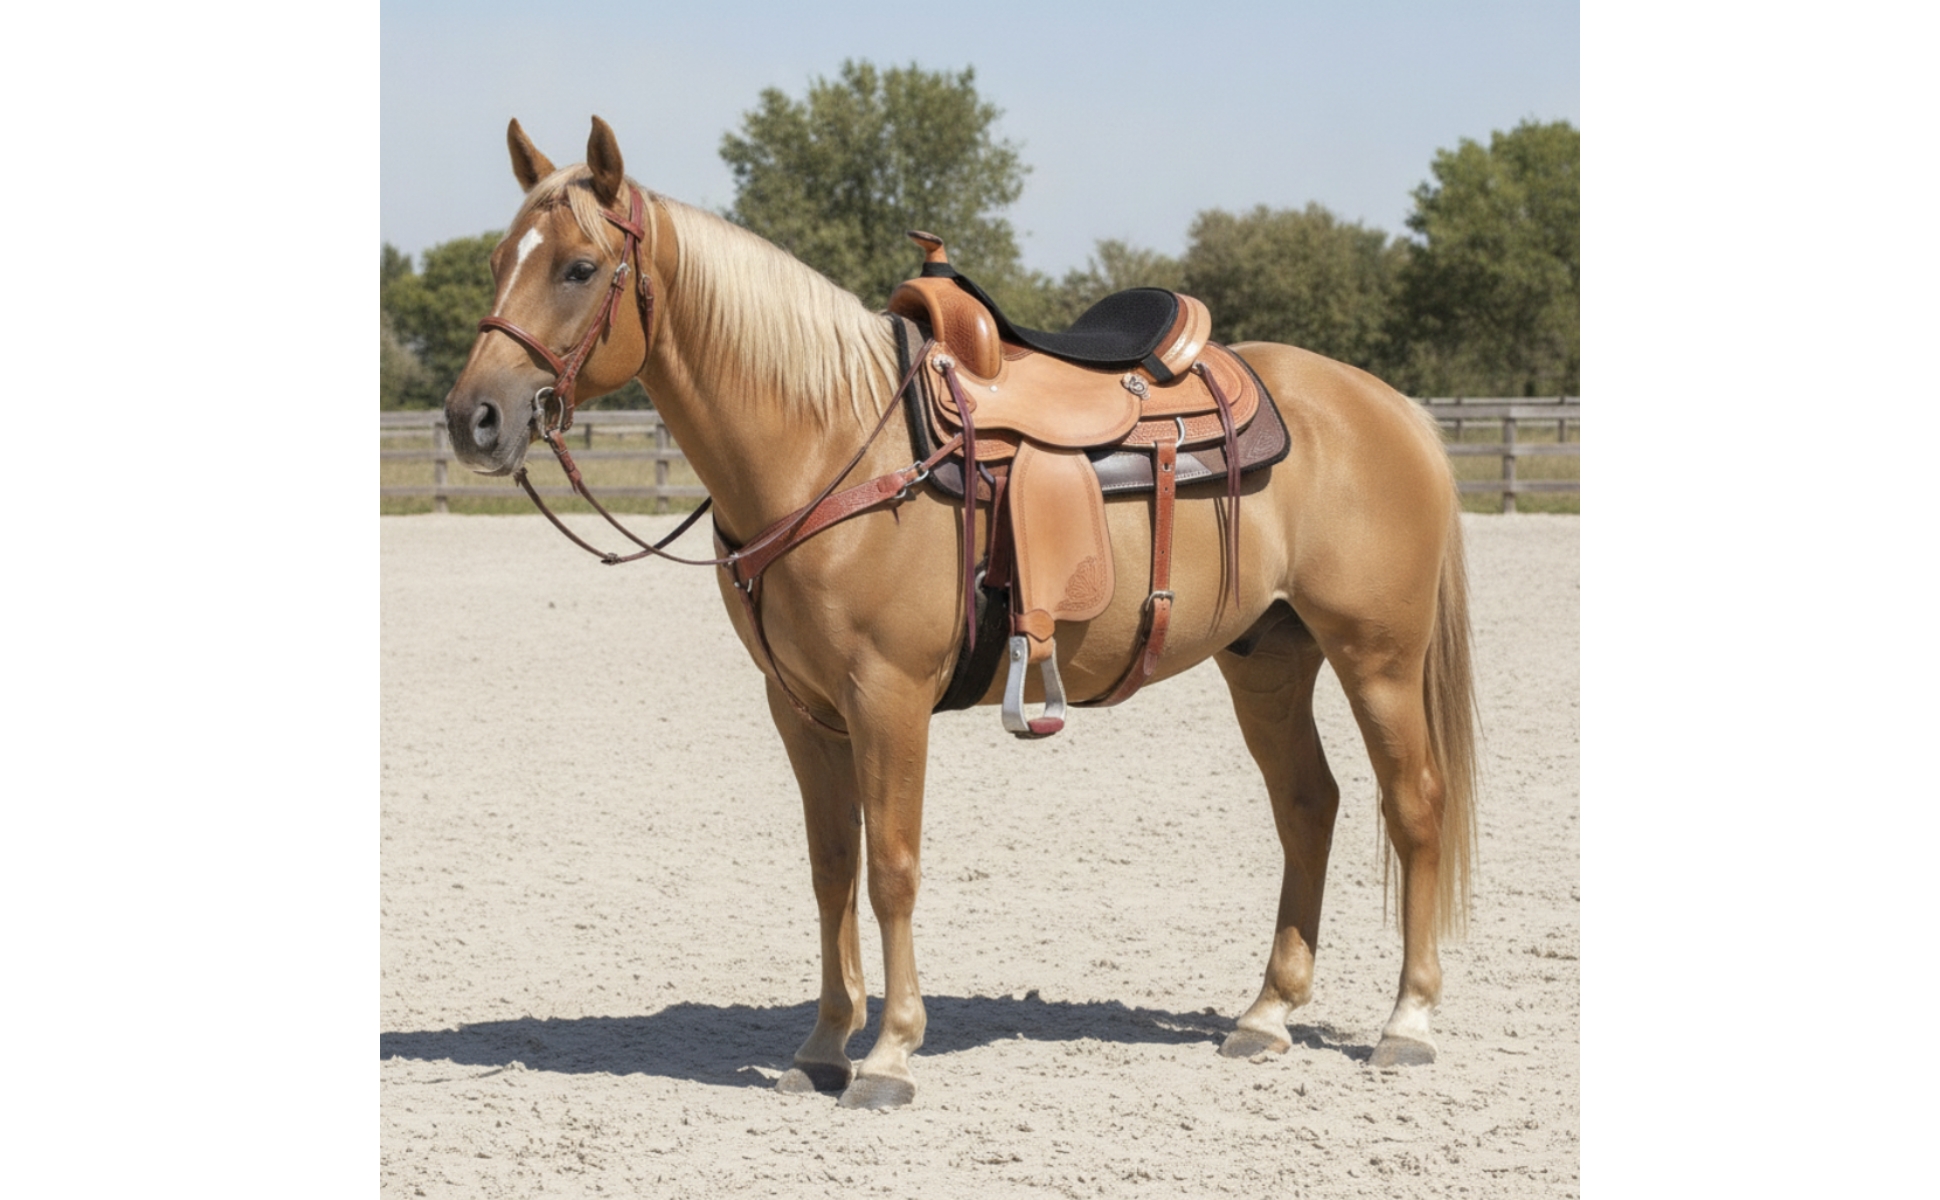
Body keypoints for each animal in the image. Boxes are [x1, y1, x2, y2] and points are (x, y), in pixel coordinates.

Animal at [442, 116, 1478, 1110]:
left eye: (579, 268)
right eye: (497, 260)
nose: (472, 419)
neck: (833, 444)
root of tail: (1391, 407)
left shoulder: (888, 695)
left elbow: (892, 867)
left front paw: (892, 1054)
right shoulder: (801, 707)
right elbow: (832, 868)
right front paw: (824, 1046)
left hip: (1376, 657)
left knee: (1414, 804)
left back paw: (1410, 1023)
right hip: (1268, 657)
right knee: (1308, 805)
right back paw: (1266, 1015)